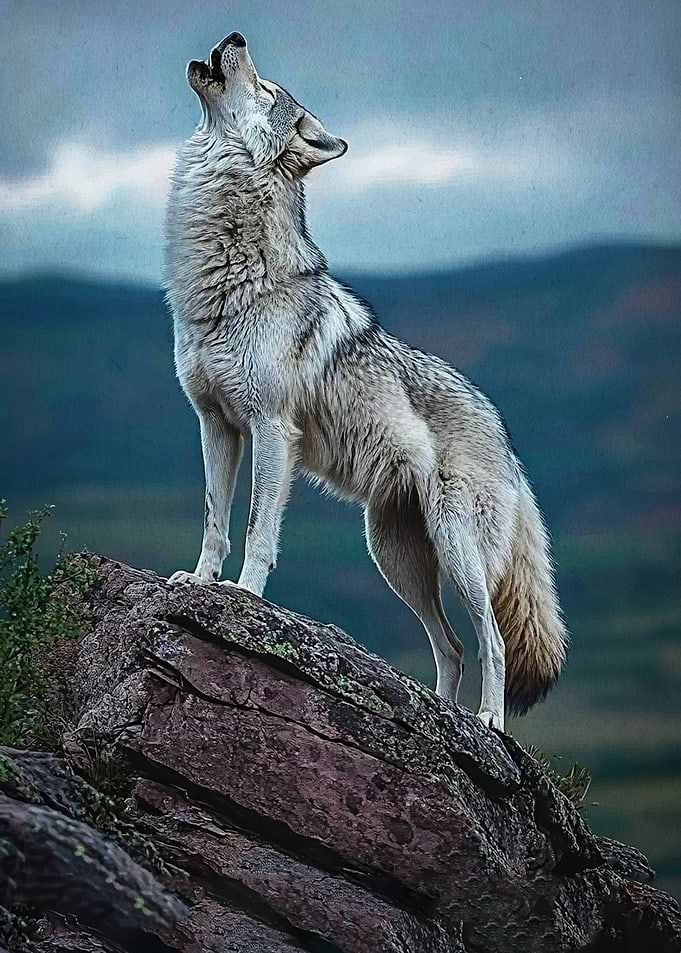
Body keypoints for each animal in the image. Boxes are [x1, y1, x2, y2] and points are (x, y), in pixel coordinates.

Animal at [165, 31, 568, 731]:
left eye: (267, 87)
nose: (235, 36)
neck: (228, 279)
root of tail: (504, 433)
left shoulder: (271, 430)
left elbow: (258, 531)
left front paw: (242, 599)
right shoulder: (215, 424)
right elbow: (216, 518)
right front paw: (198, 583)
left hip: (457, 551)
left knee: (490, 640)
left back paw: (487, 723)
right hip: (394, 555)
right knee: (451, 646)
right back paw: (442, 713)